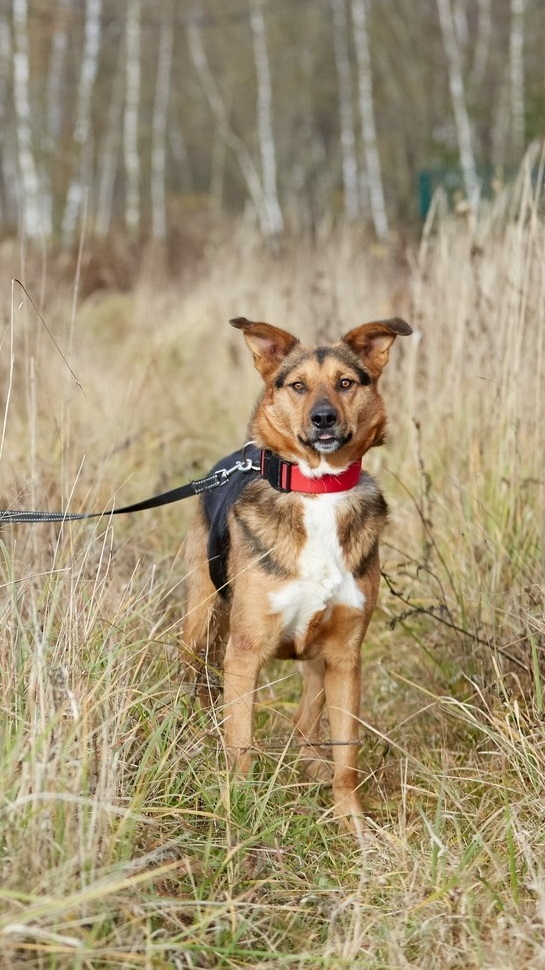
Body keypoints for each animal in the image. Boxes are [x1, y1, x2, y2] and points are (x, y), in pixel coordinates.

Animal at [181, 316, 410, 832]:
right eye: (298, 385)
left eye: (345, 383)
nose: (323, 418)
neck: (317, 489)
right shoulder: (244, 653)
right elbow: (240, 746)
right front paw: (238, 812)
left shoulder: (345, 656)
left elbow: (347, 756)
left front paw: (355, 827)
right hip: (200, 620)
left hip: (317, 661)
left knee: (306, 724)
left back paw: (310, 766)